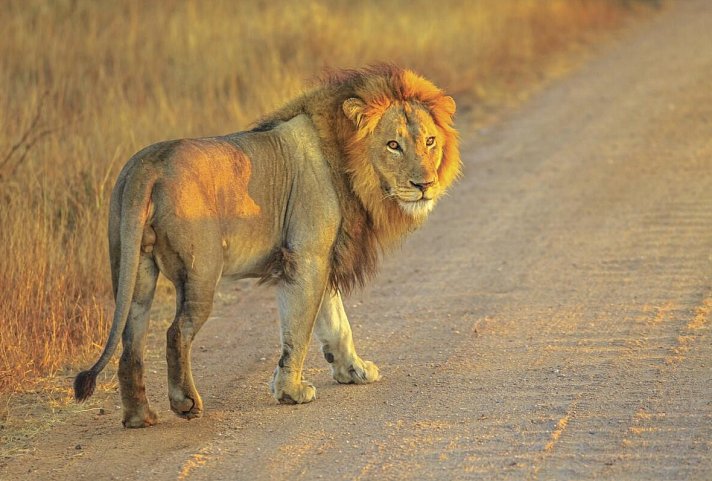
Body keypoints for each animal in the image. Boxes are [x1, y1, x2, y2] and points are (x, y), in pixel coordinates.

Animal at [74, 65, 460, 428]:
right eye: (393, 145)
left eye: (429, 141)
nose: (425, 184)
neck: (349, 162)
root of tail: (148, 165)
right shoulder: (306, 257)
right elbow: (299, 329)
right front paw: (291, 392)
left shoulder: (324, 256)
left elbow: (336, 322)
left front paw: (353, 370)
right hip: (201, 273)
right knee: (175, 332)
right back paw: (185, 403)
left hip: (134, 269)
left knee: (131, 341)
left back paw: (139, 416)